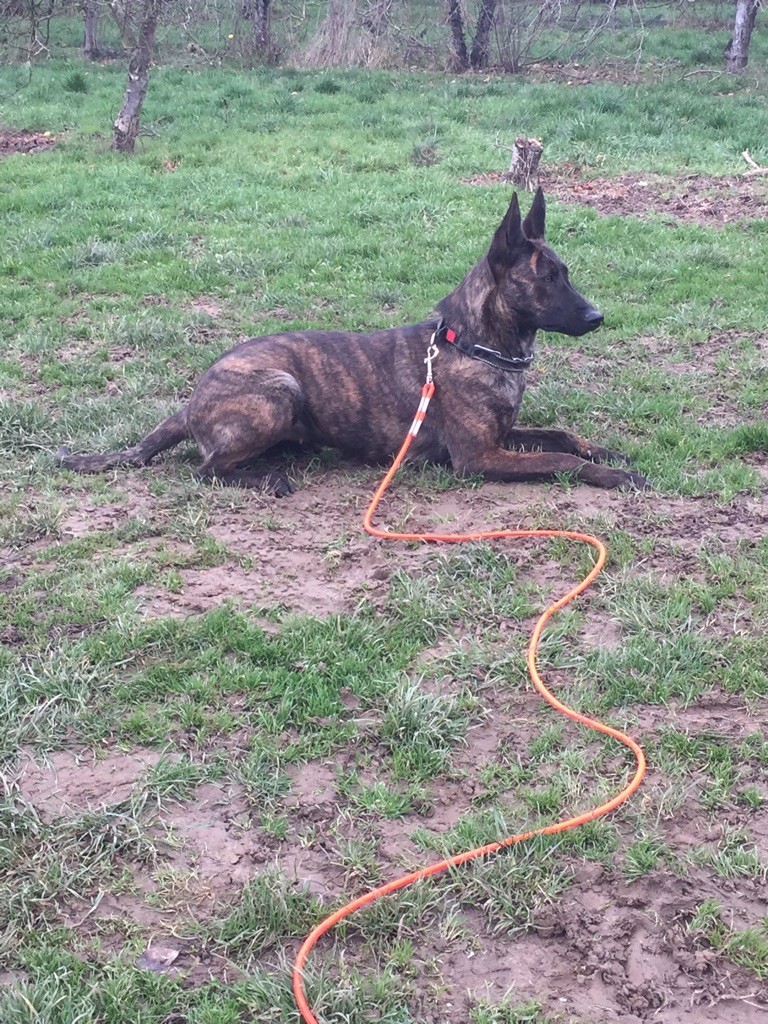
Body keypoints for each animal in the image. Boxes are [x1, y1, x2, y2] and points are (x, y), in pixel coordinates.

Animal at [58, 192, 651, 499]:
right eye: (545, 280)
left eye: (566, 274)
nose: (598, 317)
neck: (476, 346)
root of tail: (190, 403)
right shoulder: (479, 456)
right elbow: (559, 458)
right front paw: (615, 475)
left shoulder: (504, 435)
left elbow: (562, 435)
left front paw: (607, 451)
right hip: (279, 388)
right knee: (205, 470)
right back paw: (265, 478)